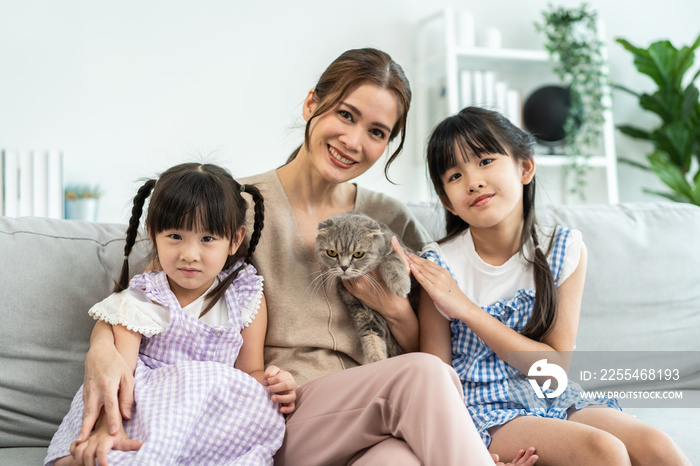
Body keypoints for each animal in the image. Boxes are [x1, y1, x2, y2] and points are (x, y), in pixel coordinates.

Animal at [314, 212, 412, 364]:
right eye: (332, 252)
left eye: (358, 254)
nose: (344, 267)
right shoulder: (364, 312)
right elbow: (372, 339)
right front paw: (377, 361)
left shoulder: (395, 247)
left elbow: (392, 260)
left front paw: (400, 284)